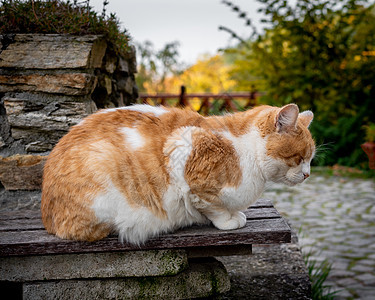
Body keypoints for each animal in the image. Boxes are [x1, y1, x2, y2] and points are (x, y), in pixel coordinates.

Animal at [42, 103, 316, 244]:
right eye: (299, 158)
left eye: (311, 159)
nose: (307, 174)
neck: (244, 149)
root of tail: (48, 220)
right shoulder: (183, 149)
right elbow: (211, 206)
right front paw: (228, 220)